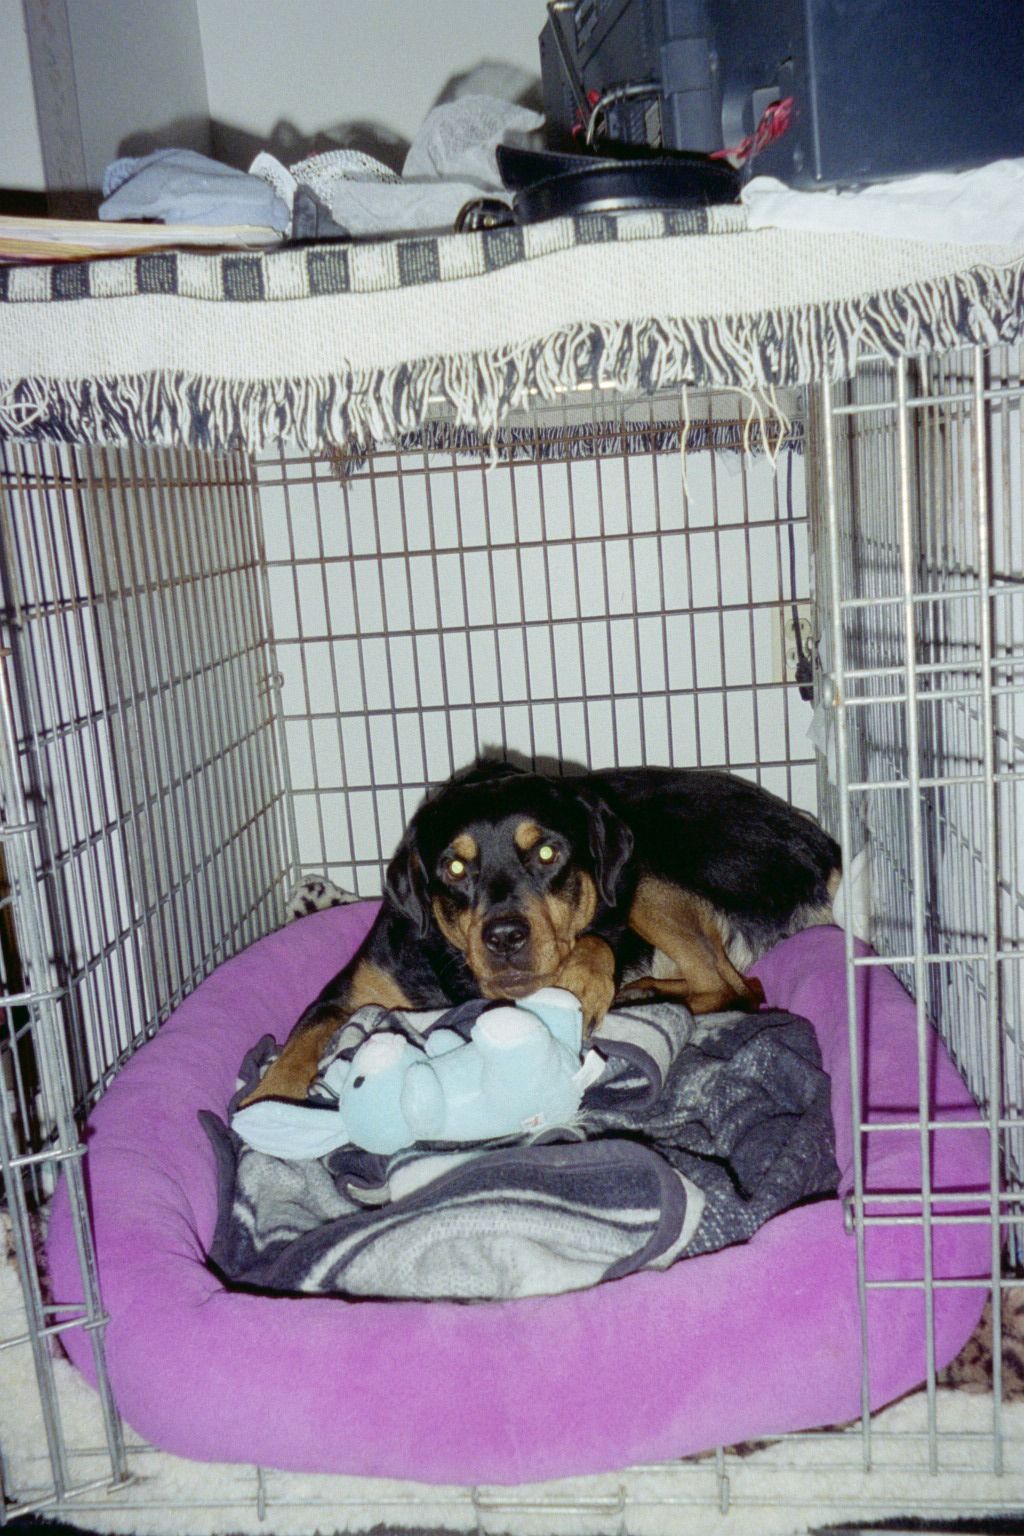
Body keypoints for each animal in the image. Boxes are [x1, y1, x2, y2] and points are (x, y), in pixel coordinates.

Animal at [245, 758, 841, 1105]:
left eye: (549, 853)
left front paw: (579, 985)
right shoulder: (353, 990)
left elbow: (592, 945)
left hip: (648, 872)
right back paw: (643, 991)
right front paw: (267, 1106)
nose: (505, 937)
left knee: (734, 987)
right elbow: (302, 1041)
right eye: (454, 868)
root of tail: (820, 845)